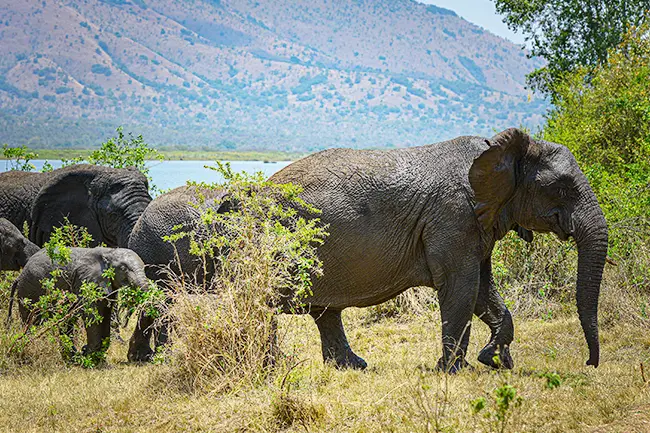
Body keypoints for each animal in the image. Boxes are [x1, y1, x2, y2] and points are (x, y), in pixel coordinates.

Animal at [7, 246, 149, 354]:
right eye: (124, 269)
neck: (109, 251)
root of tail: (19, 275)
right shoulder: (85, 281)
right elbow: (92, 314)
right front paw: (87, 353)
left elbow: (105, 313)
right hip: (29, 291)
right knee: (32, 321)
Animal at [268, 128, 608, 372]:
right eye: (562, 188)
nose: (589, 364)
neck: (497, 150)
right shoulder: (454, 216)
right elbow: (462, 288)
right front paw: (454, 370)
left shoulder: (476, 223)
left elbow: (483, 290)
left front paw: (494, 360)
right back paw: (272, 368)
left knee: (326, 312)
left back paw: (351, 367)